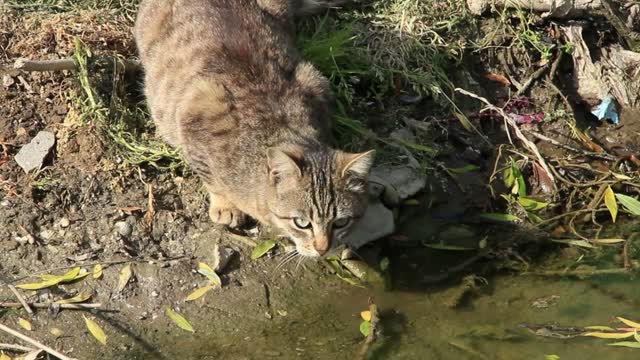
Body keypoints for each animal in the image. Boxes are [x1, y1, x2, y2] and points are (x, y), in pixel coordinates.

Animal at [135, 0, 376, 258]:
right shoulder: (196, 114)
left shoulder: (315, 84)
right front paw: (225, 205)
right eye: (302, 223)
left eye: (341, 222)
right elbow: (211, 179)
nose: (323, 249)